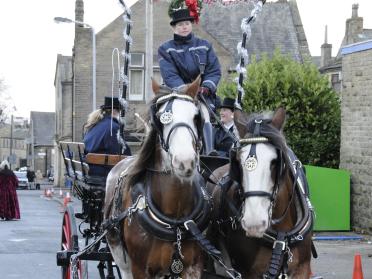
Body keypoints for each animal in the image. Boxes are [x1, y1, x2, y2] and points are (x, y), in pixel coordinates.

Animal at [103, 77, 212, 278]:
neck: (175, 221)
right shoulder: (140, 269)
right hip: (120, 256)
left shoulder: (193, 267)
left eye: (196, 117)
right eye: (160, 118)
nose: (185, 161)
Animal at [208, 109, 316, 279]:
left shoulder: (302, 268)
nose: (254, 222)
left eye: (275, 162)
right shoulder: (248, 272)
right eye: (238, 162)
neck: (281, 236)